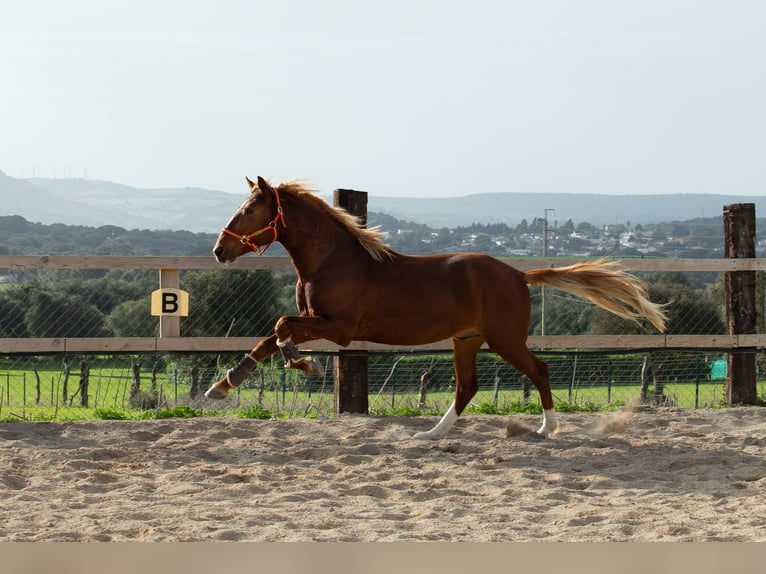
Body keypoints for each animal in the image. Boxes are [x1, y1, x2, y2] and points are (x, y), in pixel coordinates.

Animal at [207, 179, 668, 440]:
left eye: (250, 209)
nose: (219, 250)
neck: (332, 261)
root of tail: (519, 275)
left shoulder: (339, 329)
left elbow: (281, 326)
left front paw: (304, 364)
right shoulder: (323, 324)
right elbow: (270, 336)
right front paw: (224, 385)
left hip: (504, 340)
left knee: (539, 370)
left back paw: (547, 427)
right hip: (466, 340)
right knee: (467, 388)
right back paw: (430, 434)